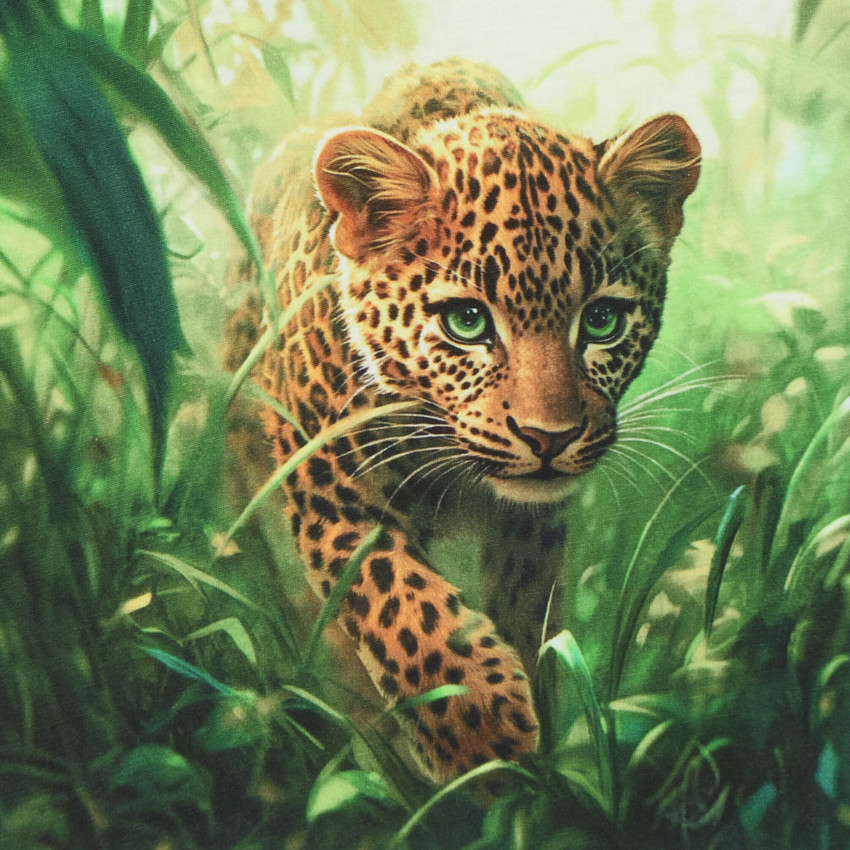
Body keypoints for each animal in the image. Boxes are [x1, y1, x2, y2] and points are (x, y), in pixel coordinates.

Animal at [223, 57, 700, 782]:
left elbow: (525, 602)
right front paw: (479, 729)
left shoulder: (533, 519)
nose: (549, 438)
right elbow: (389, 591)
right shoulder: (323, 472)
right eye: (467, 322)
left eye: (601, 321)